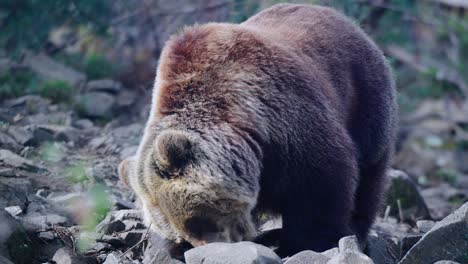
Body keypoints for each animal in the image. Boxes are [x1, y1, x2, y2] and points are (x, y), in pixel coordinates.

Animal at [119, 3, 396, 256]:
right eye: (180, 231)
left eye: (196, 219)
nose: (205, 246)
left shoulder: (290, 125)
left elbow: (322, 188)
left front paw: (306, 244)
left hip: (364, 100)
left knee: (369, 174)